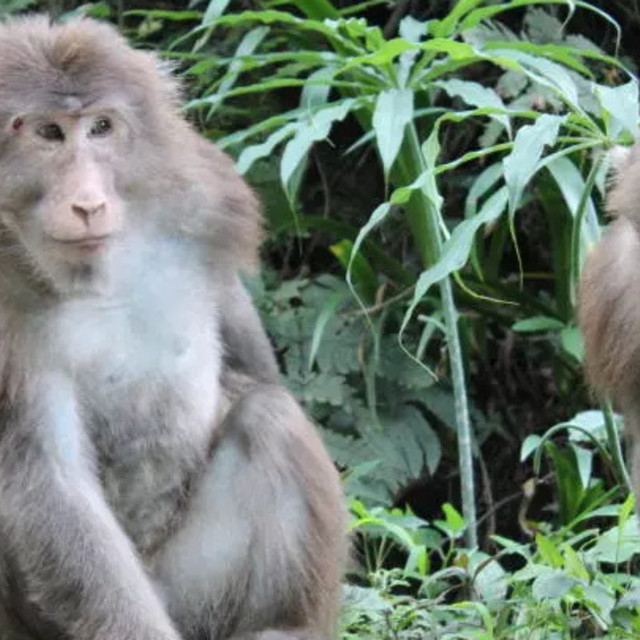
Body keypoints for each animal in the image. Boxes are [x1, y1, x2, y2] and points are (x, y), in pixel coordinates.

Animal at [0, 15, 344, 640]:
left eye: (101, 128)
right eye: (49, 134)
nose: (88, 204)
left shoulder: (205, 206)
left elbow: (258, 374)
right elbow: (54, 480)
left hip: (195, 594)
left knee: (269, 415)